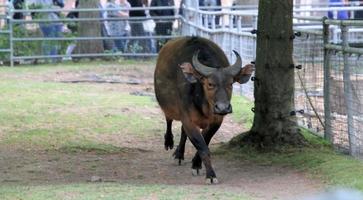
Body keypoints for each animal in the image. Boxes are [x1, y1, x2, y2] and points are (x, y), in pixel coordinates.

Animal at [153, 35, 253, 183]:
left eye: (230, 83)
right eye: (210, 84)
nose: (223, 108)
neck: (203, 105)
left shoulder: (216, 121)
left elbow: (205, 141)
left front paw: (196, 164)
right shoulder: (188, 119)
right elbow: (202, 146)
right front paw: (210, 175)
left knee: (182, 131)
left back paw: (179, 154)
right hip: (168, 105)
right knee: (169, 120)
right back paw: (170, 143)